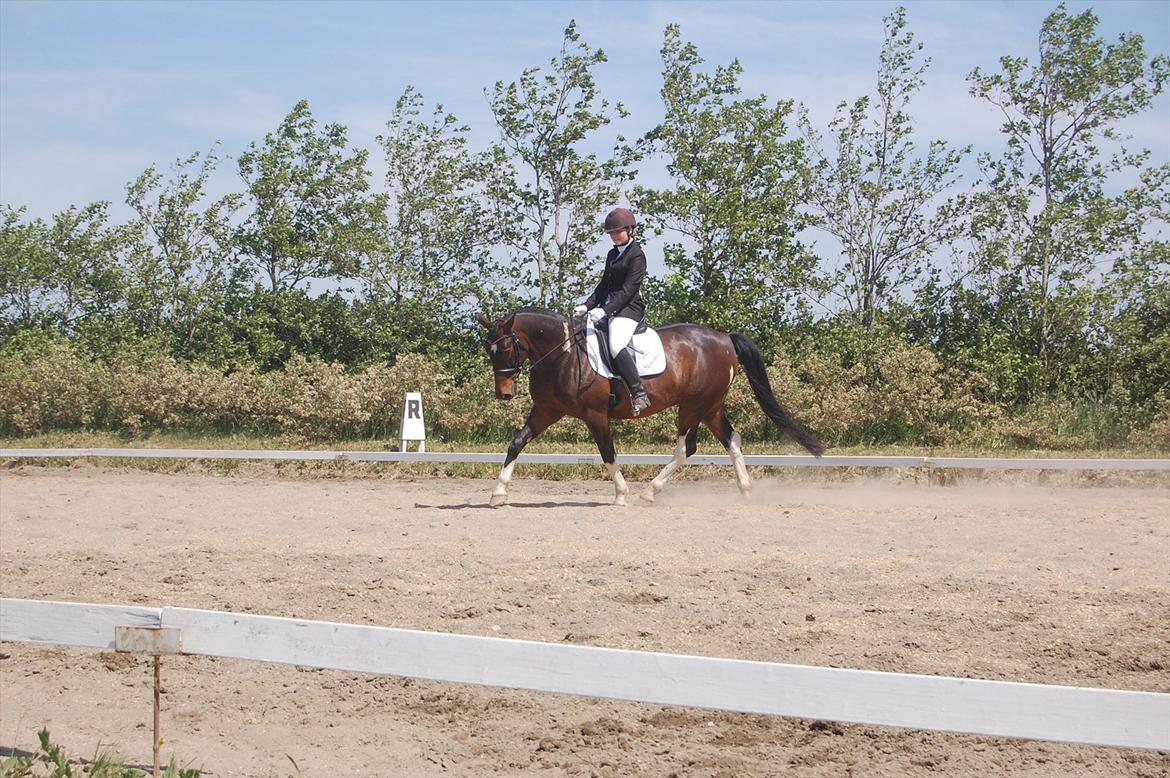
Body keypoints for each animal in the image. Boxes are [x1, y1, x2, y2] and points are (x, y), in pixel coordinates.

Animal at [472, 306, 823, 507]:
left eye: (507, 346)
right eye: (489, 351)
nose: (504, 394)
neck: (564, 354)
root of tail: (724, 338)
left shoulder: (595, 415)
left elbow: (607, 452)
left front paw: (621, 494)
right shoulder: (546, 411)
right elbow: (516, 443)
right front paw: (498, 493)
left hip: (693, 405)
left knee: (686, 448)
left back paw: (650, 491)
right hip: (711, 406)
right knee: (731, 439)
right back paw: (746, 489)